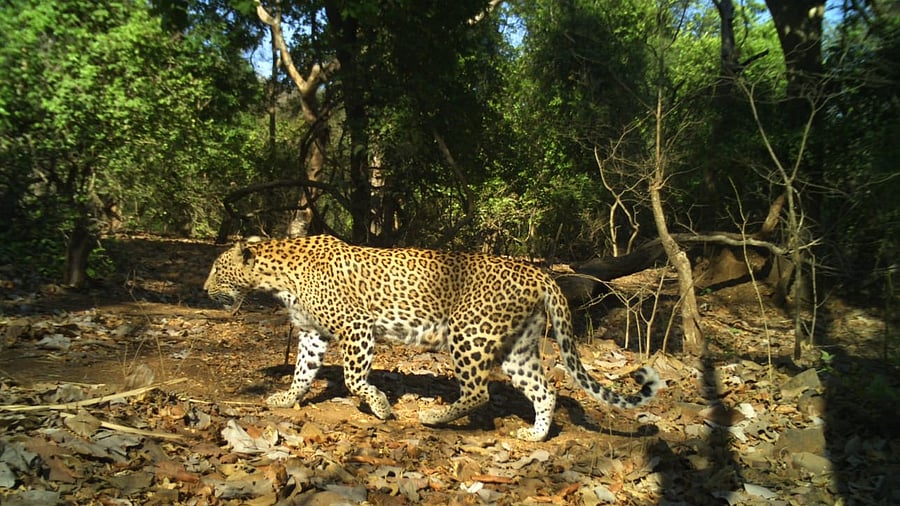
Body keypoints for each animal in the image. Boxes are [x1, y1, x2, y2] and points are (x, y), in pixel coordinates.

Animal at [204, 235, 661, 441]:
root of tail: (538, 272)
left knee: (478, 392)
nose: (204, 290)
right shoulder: (314, 333)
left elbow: (353, 377)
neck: (276, 276)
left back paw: (434, 417)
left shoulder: (357, 326)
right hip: (517, 348)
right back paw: (534, 435)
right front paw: (286, 398)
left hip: (469, 333)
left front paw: (380, 406)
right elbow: (303, 370)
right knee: (543, 390)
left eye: (216, 269)